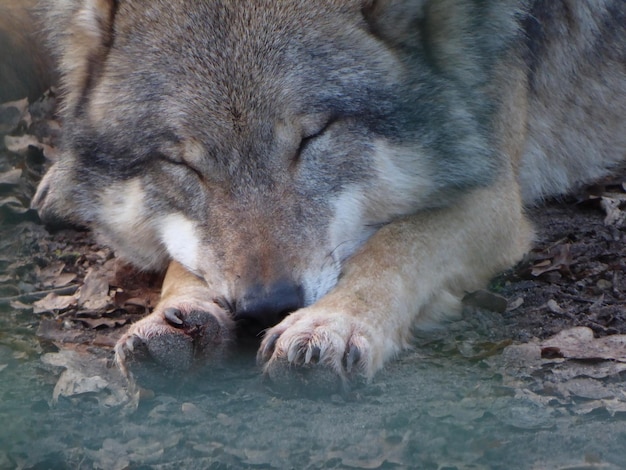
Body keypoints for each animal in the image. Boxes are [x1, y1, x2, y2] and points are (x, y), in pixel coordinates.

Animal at [24, 0, 624, 390]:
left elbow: (396, 246)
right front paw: (183, 312)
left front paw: (331, 324)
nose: (267, 308)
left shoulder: (493, 194)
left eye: (311, 139)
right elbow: (183, 258)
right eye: (184, 165)